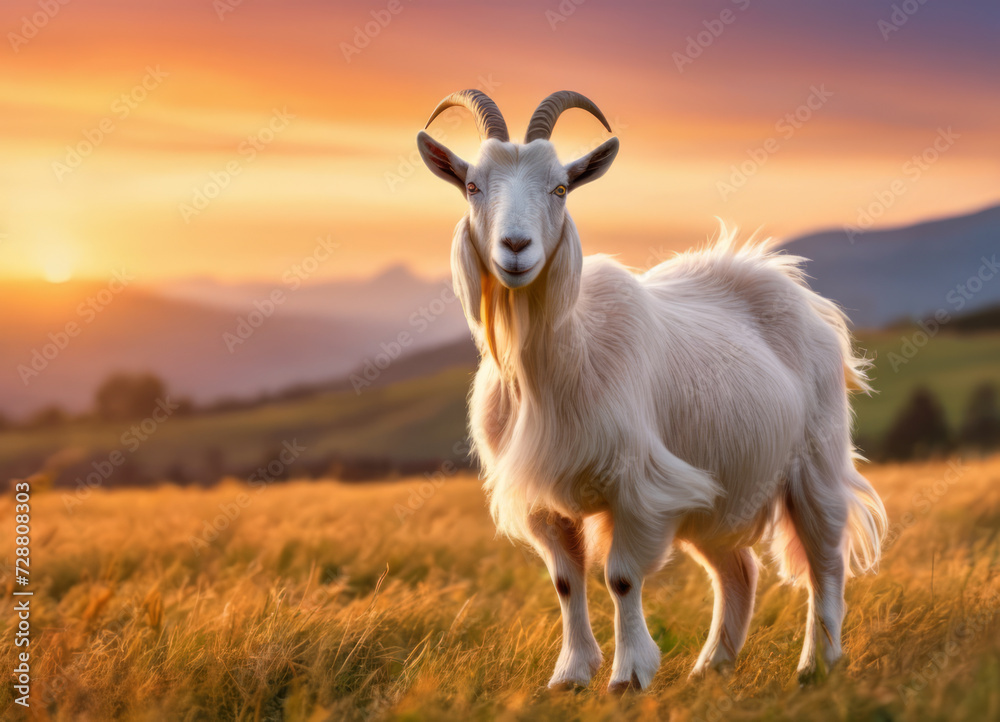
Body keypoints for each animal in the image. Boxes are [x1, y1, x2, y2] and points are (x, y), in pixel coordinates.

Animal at [416, 90, 887, 693]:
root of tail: (802, 296)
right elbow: (566, 582)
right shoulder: (548, 497)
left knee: (826, 556)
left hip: (815, 459)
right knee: (740, 568)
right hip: (718, 487)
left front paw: (628, 676)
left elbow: (619, 577)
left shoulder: (638, 483)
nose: (515, 247)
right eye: (473, 185)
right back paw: (712, 666)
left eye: (560, 187)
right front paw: (571, 675)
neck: (559, 361)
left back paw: (816, 664)